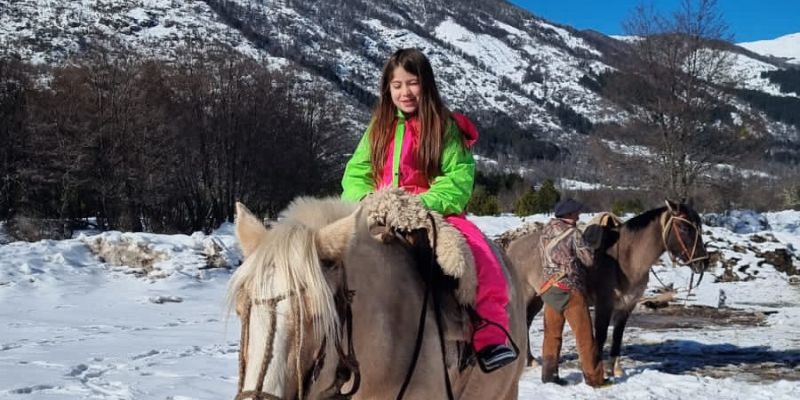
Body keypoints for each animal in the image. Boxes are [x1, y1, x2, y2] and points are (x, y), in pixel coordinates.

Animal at [505, 200, 709, 378]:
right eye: (684, 228)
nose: (703, 263)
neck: (626, 259)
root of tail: (513, 246)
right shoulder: (604, 304)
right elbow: (601, 336)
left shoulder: (626, 306)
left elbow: (617, 337)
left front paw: (615, 370)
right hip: (527, 296)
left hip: (539, 298)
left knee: (527, 321)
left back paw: (531, 360)